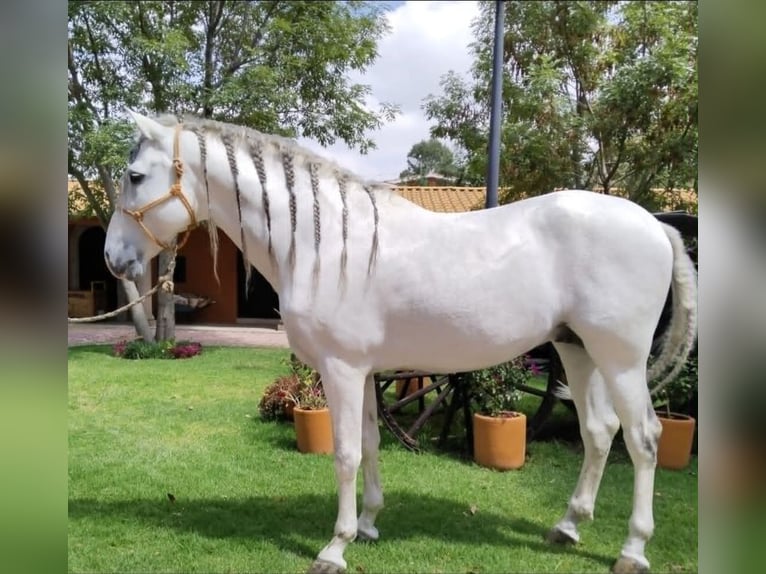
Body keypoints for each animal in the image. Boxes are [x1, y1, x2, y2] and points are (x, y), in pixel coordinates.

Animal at [104, 110, 698, 574]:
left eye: (134, 175)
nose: (113, 258)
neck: (321, 244)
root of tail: (653, 224)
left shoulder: (340, 369)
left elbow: (344, 453)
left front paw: (335, 547)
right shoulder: (364, 372)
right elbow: (368, 444)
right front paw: (367, 525)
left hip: (620, 360)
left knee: (643, 439)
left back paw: (632, 549)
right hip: (578, 350)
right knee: (599, 432)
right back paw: (568, 527)